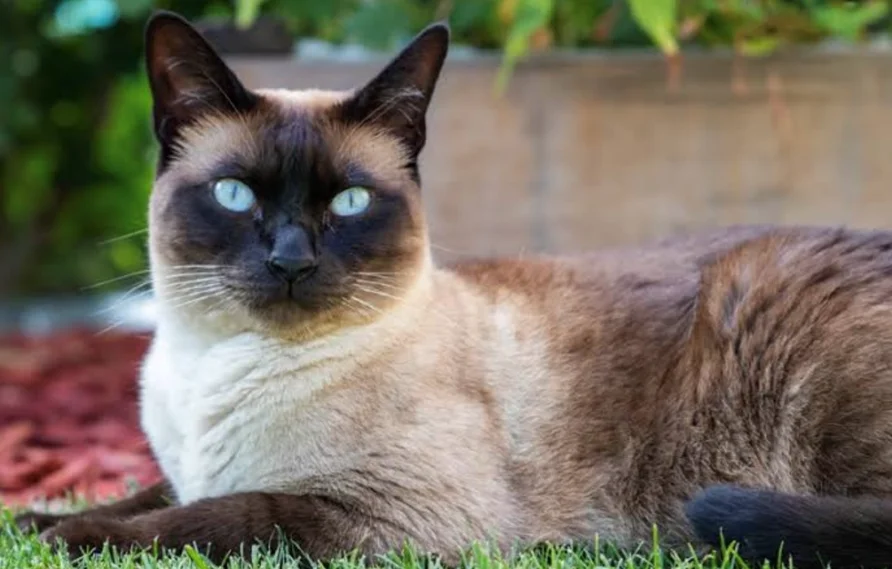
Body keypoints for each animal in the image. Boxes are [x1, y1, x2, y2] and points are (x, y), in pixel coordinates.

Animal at [13, 8, 892, 568]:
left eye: (349, 202)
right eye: (236, 195)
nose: (291, 260)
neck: (215, 367)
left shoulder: (393, 514)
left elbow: (220, 513)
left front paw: (66, 544)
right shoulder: (187, 467)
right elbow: (144, 493)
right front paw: (35, 520)